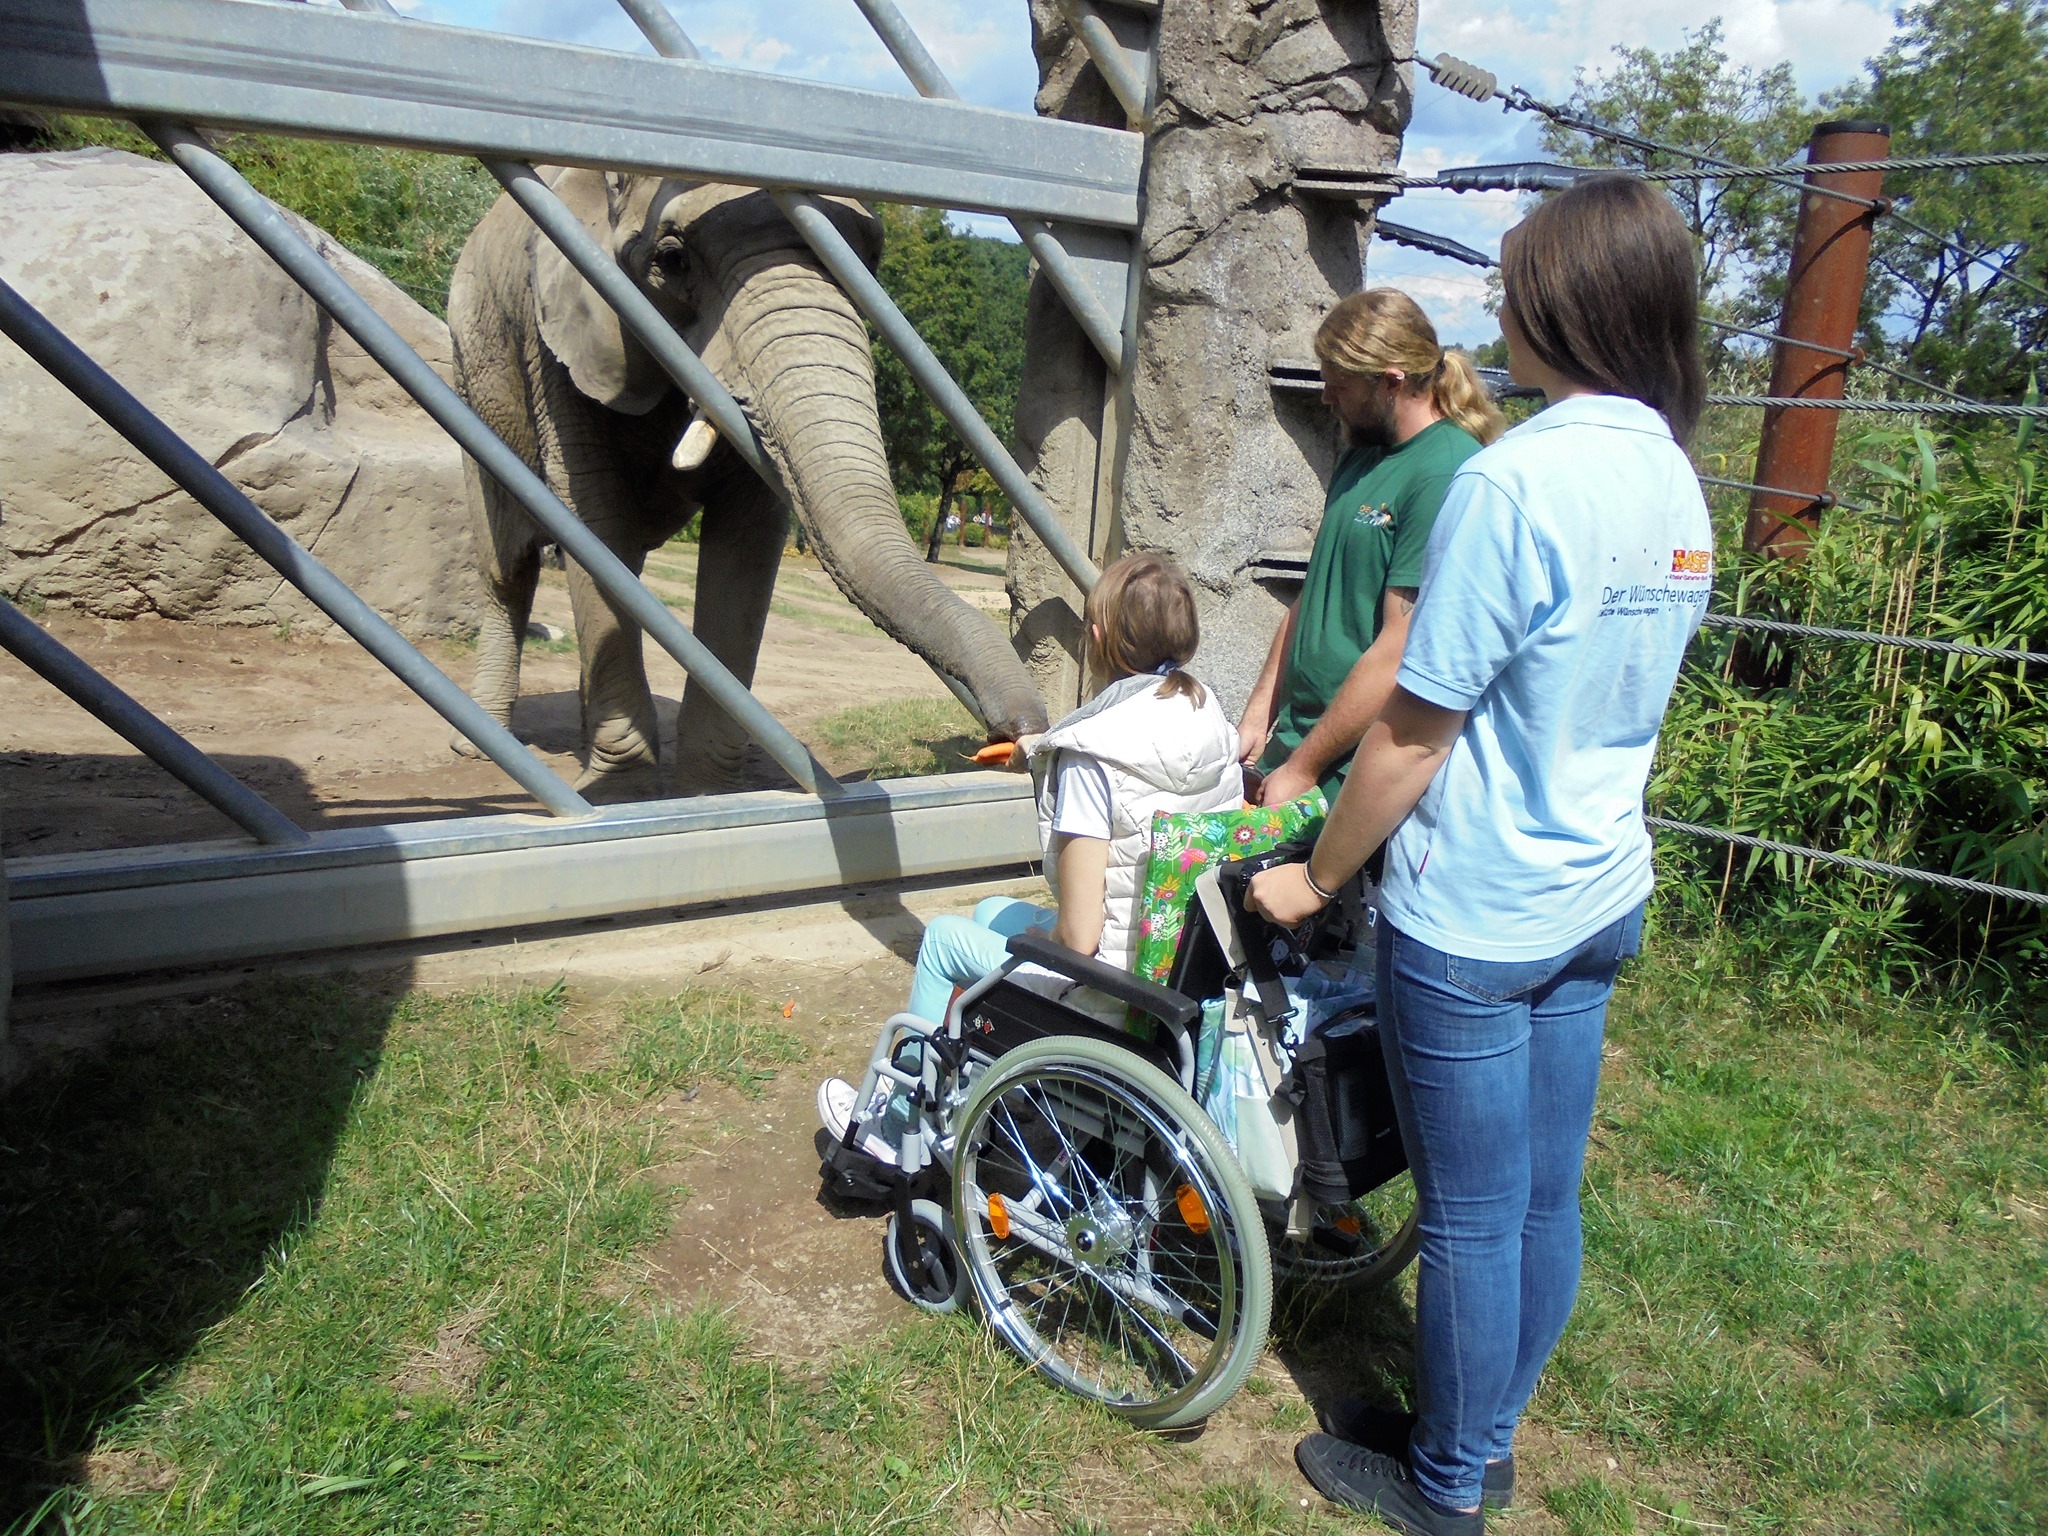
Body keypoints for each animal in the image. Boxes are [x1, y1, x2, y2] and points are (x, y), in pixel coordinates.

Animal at [444, 169, 1040, 798]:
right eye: (671, 259)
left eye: (870, 261)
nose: (1016, 735)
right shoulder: (557, 343)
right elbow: (592, 519)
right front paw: (621, 795)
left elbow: (746, 544)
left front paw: (708, 792)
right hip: (472, 377)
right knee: (509, 564)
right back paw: (481, 743)